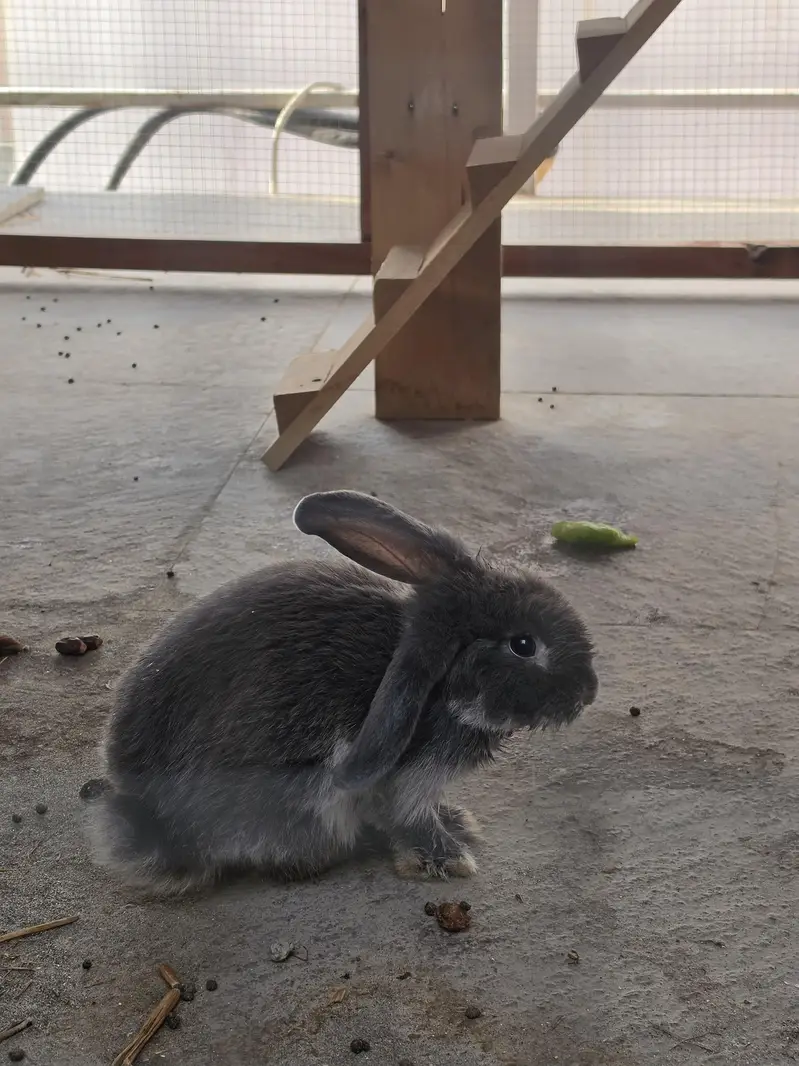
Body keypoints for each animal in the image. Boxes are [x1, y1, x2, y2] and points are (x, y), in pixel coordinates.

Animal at [91, 490, 597, 894]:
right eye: (524, 645)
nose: (588, 693)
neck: (445, 691)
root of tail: (160, 829)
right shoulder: (408, 781)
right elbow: (410, 818)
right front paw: (449, 859)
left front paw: (459, 821)